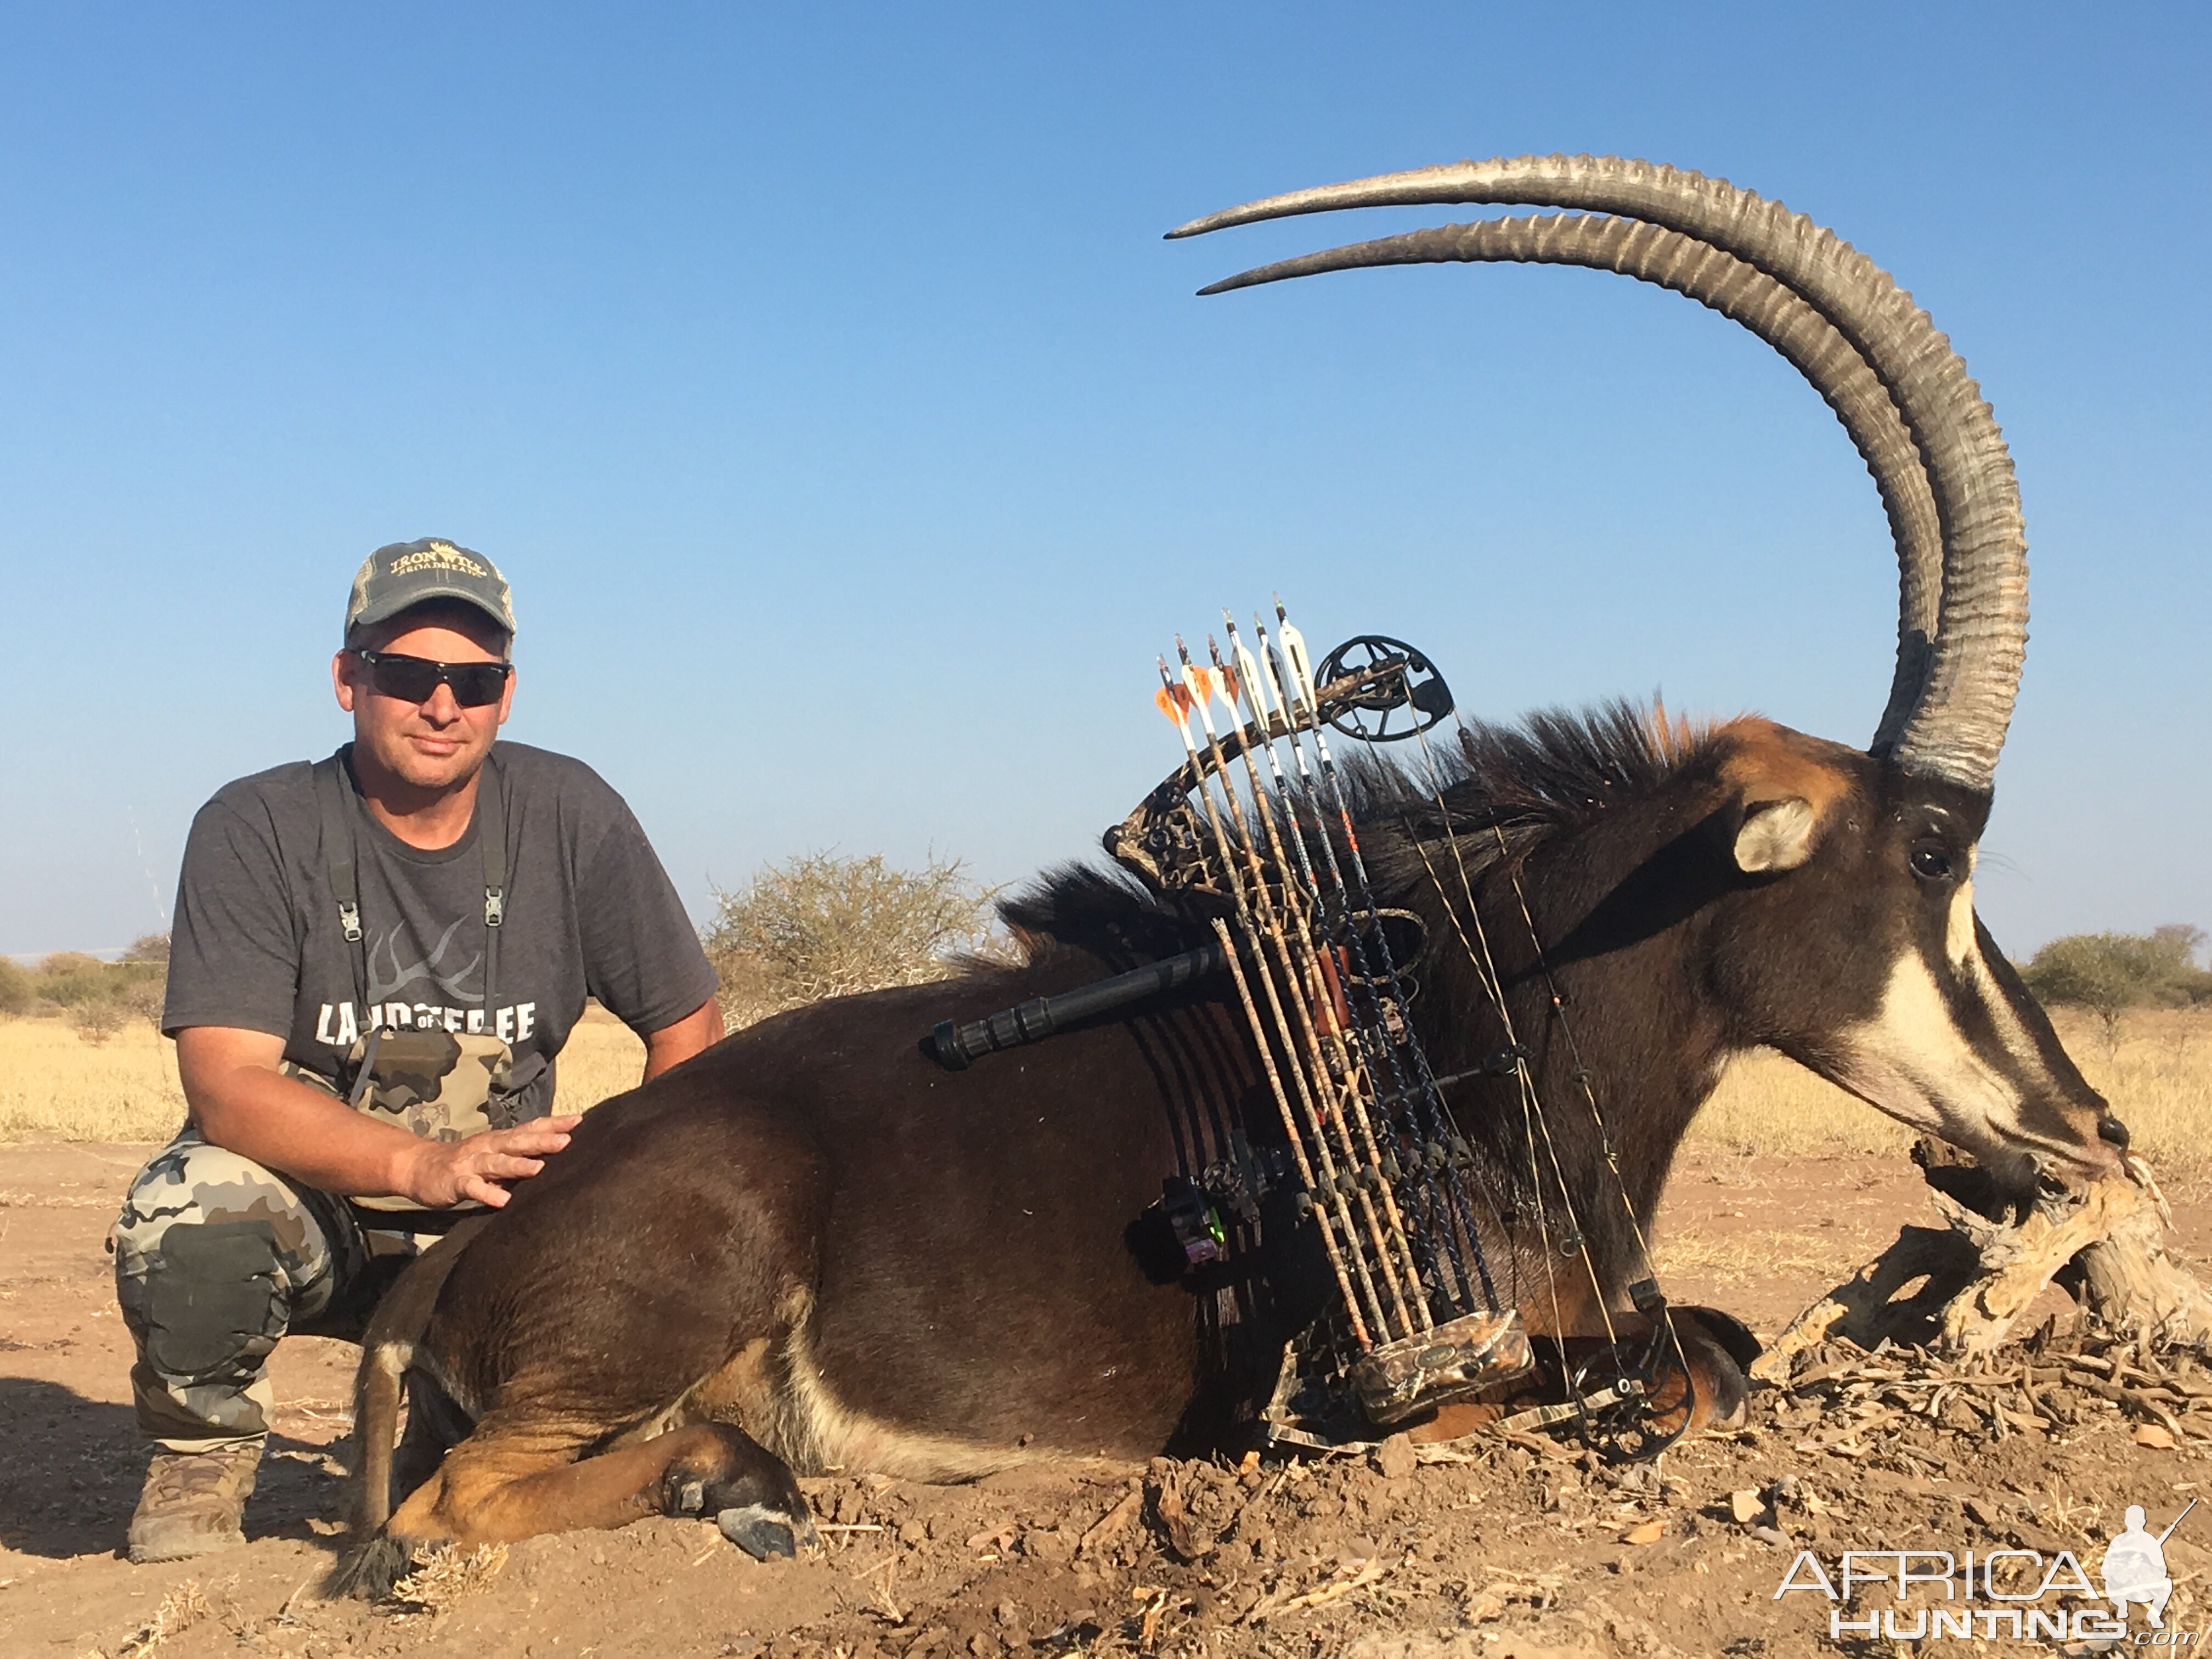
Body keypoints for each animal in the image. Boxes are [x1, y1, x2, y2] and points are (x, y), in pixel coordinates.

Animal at [331, 159, 2123, 1601]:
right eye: (1935, 851)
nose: (2089, 1128)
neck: (1471, 1018)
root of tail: (455, 1247)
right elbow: (1687, 1365)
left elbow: (1728, 1343)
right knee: (453, 1502)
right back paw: (742, 1482)